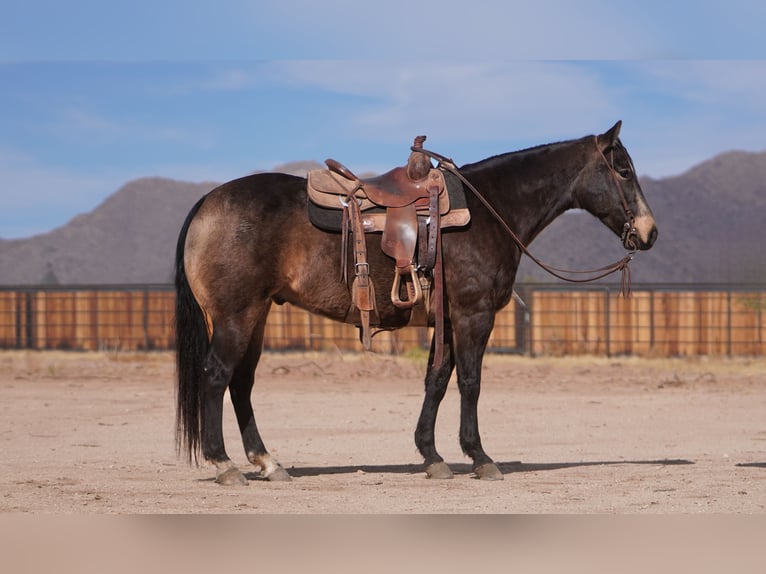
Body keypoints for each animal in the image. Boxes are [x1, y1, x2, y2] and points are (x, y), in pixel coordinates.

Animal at [174, 121, 660, 486]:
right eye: (622, 170)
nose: (650, 232)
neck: (491, 210)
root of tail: (207, 202)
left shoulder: (446, 320)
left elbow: (436, 381)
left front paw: (432, 456)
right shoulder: (473, 316)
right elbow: (470, 383)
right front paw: (480, 457)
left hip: (255, 317)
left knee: (241, 383)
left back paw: (268, 462)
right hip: (236, 317)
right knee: (217, 376)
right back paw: (225, 465)